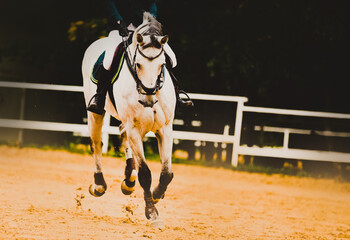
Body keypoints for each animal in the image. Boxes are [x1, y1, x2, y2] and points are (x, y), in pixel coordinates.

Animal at [81, 12, 175, 225]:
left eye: (162, 65)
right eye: (138, 64)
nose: (148, 99)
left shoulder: (165, 129)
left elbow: (166, 173)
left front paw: (157, 195)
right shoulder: (135, 129)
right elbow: (145, 173)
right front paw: (152, 212)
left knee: (122, 136)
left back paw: (128, 181)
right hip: (95, 113)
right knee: (97, 143)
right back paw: (99, 185)